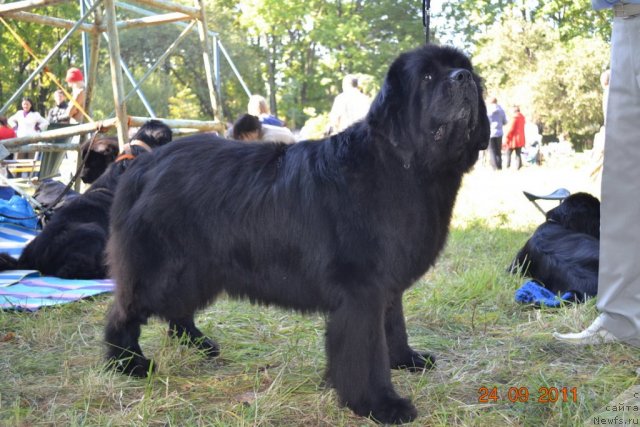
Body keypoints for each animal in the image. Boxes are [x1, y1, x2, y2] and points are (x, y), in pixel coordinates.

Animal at [106, 45, 490, 426]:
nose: (463, 79)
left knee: (177, 312)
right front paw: (380, 404)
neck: (404, 167)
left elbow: (394, 325)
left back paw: (200, 345)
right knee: (123, 310)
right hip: (165, 269)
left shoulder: (387, 284)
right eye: (427, 76)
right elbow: (367, 351)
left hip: (197, 270)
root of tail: (145, 165)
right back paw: (126, 363)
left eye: (467, 69)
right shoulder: (362, 290)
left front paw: (406, 360)